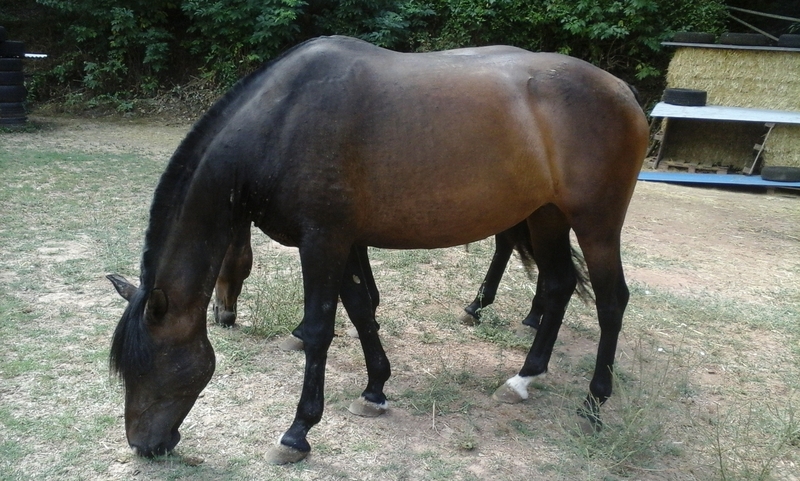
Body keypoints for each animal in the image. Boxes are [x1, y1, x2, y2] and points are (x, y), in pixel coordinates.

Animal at [107, 35, 648, 464]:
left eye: (148, 366)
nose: (144, 446)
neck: (282, 121)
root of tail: (623, 92)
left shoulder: (323, 241)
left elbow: (322, 330)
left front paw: (298, 433)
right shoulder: (344, 242)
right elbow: (362, 309)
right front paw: (375, 390)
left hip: (596, 225)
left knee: (611, 301)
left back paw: (594, 404)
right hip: (546, 215)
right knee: (557, 286)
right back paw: (523, 379)